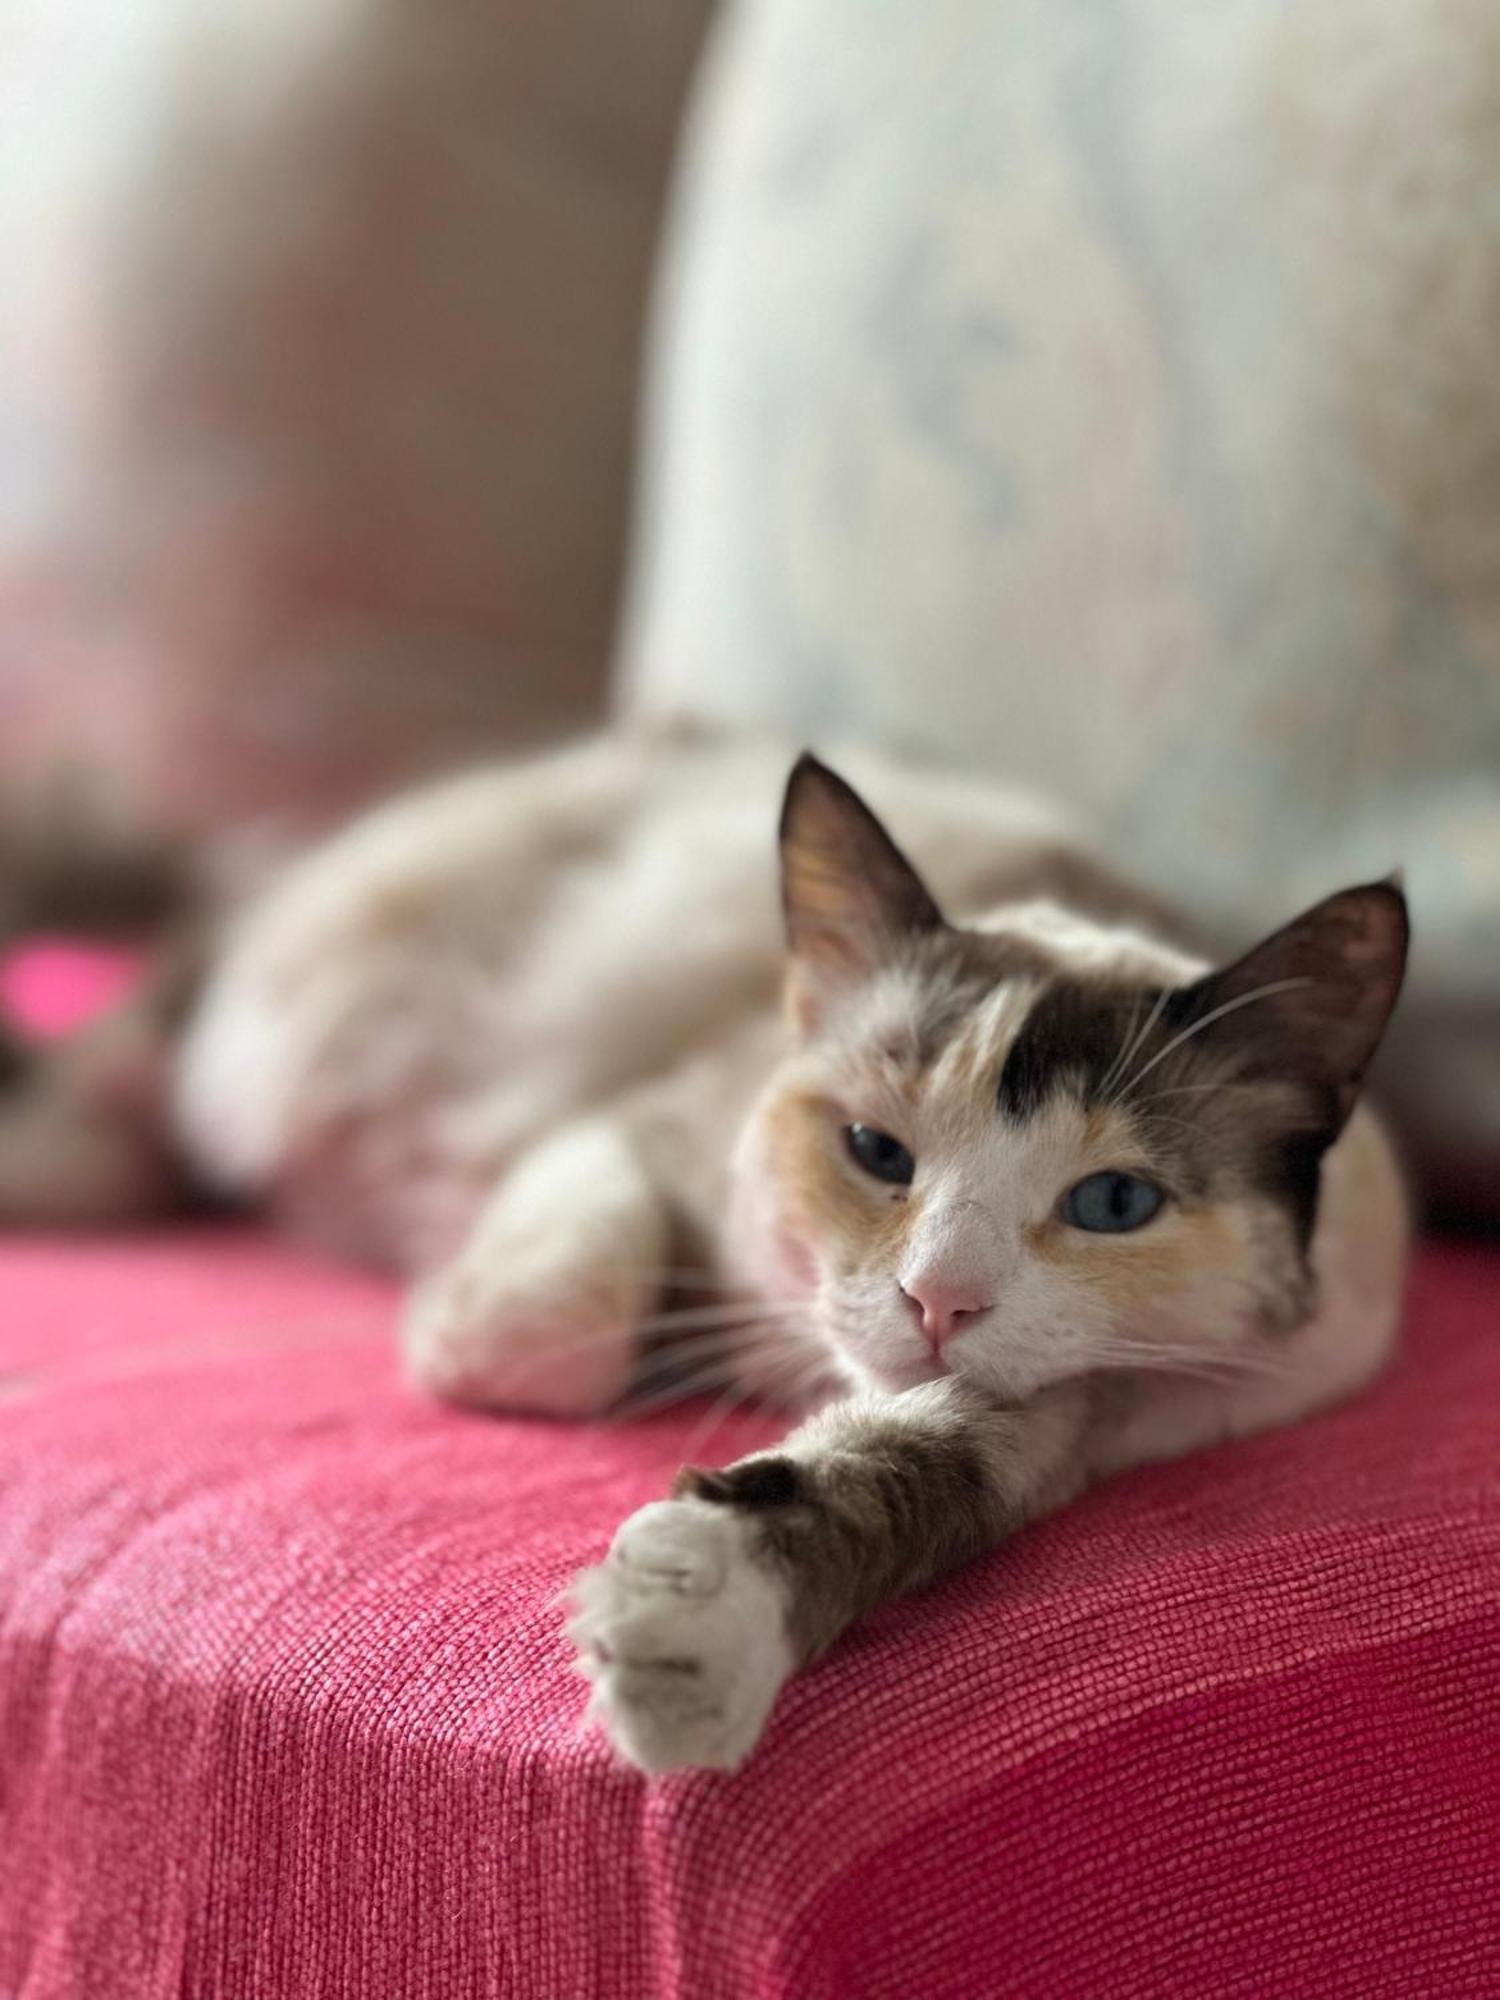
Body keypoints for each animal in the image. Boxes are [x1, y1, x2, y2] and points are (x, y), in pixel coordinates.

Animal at [0, 728, 1408, 1776]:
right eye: (876, 1151)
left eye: (1113, 1201)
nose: (936, 1298)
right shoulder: (628, 1135)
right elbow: (537, 1340)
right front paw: (466, 1317)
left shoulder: (1072, 1411)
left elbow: (867, 1474)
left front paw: (690, 1641)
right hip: (236, 1036)